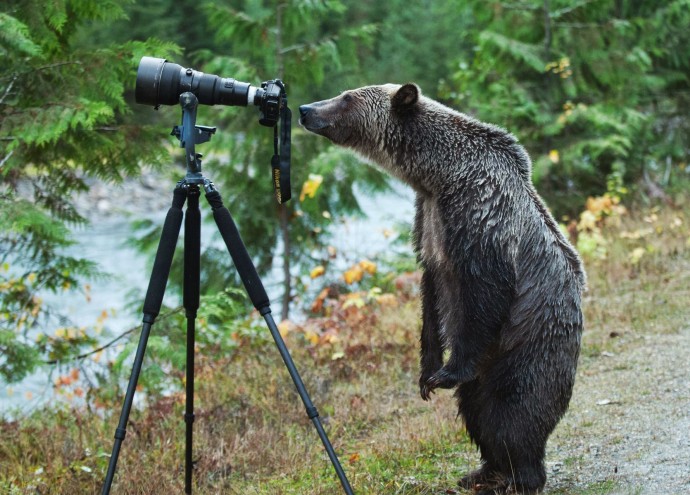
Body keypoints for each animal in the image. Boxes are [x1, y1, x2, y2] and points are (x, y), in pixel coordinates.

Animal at [298, 83, 584, 494]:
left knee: (514, 412)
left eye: (347, 97)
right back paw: (483, 471)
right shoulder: (428, 222)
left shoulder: (479, 216)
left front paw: (445, 372)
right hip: (492, 365)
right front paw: (427, 374)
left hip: (528, 344)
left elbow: (484, 293)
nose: (305, 109)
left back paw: (518, 477)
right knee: (477, 410)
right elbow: (431, 298)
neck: (438, 176)